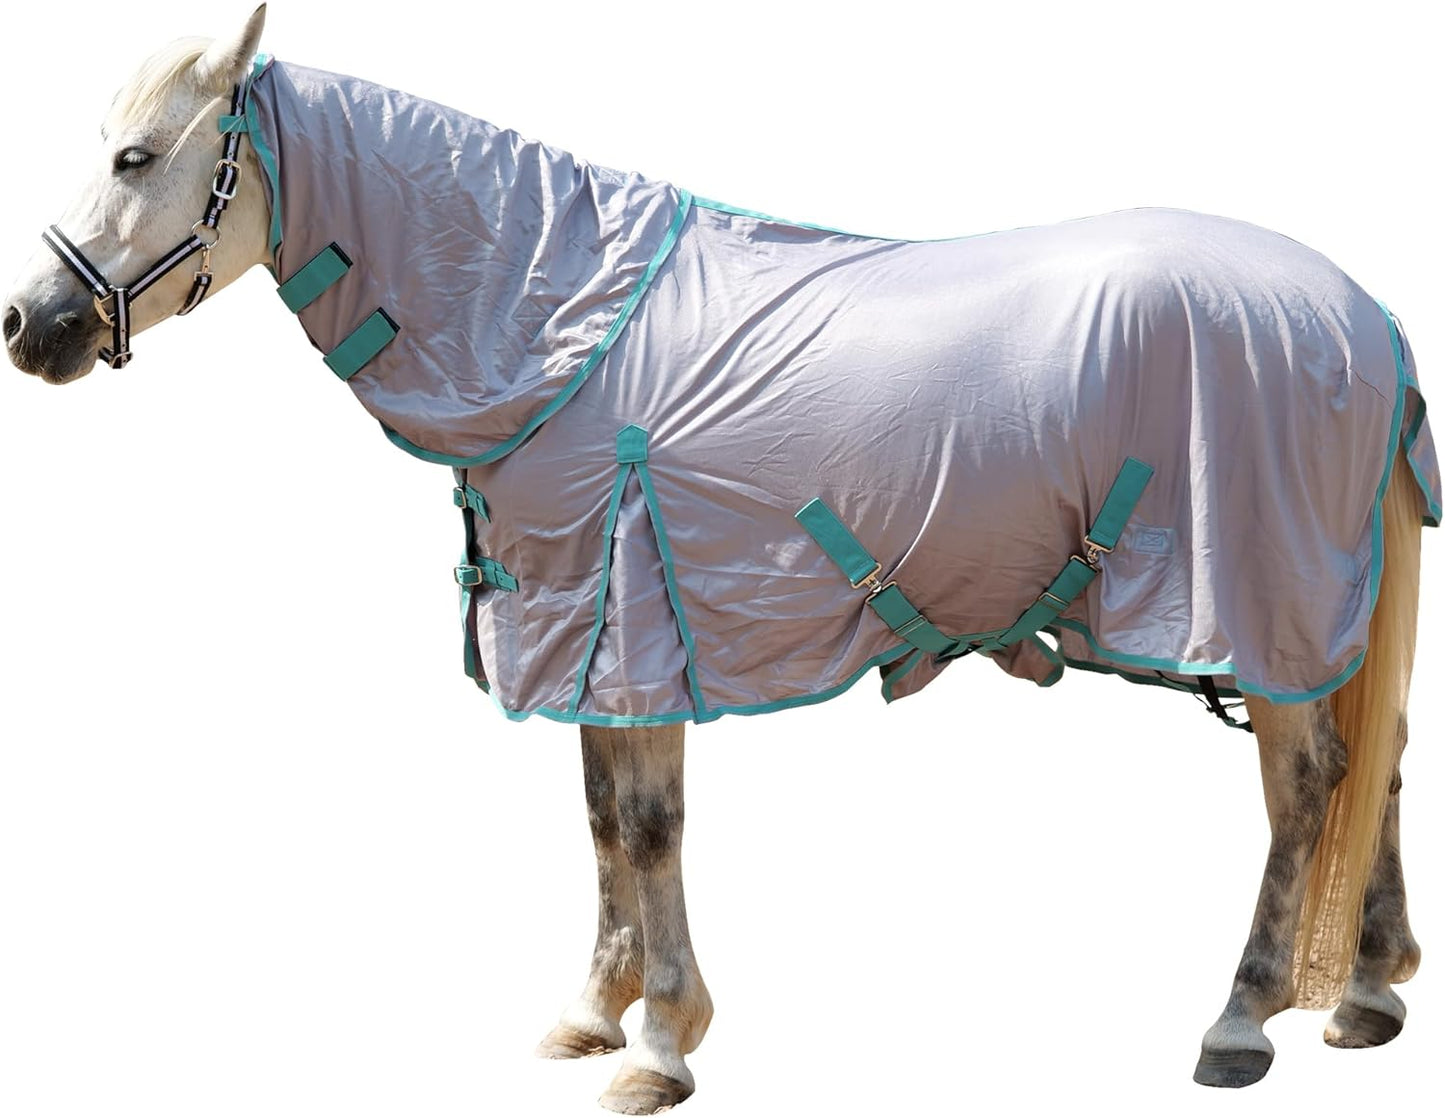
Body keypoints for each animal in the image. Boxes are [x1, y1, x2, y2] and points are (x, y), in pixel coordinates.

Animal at [3, 7, 1437, 1112]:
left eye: (135, 153)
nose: (32, 323)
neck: (552, 323)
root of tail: (1357, 315)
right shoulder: (587, 623)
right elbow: (598, 817)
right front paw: (592, 1009)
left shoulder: (636, 615)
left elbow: (647, 822)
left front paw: (658, 1043)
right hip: (1306, 617)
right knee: (1368, 765)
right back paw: (1362, 993)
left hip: (1256, 603)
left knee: (1305, 781)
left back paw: (1241, 1018)